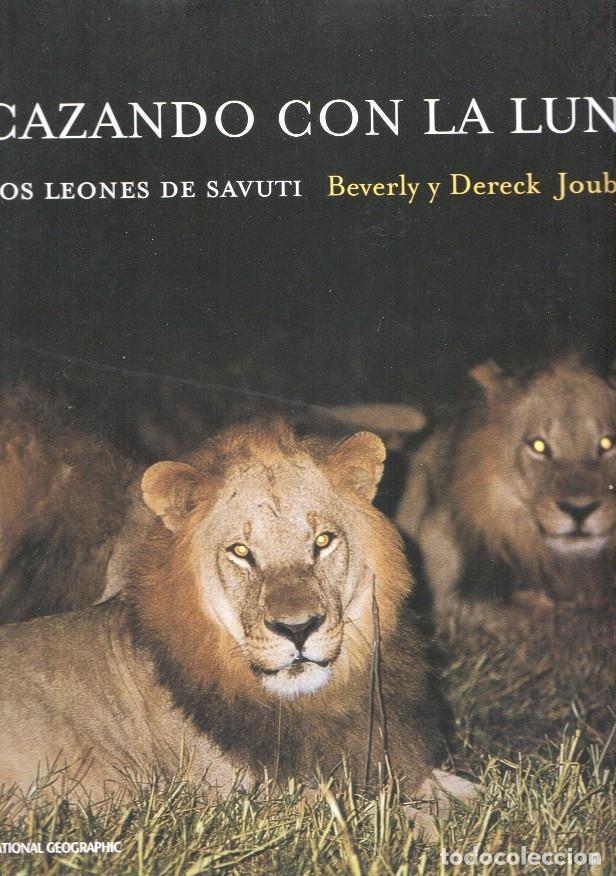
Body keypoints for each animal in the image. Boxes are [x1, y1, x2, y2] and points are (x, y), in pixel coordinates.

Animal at [0, 418, 475, 814]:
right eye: (241, 551)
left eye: (322, 541)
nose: (297, 628)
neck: (312, 701)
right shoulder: (239, 798)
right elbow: (386, 816)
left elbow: (474, 791)